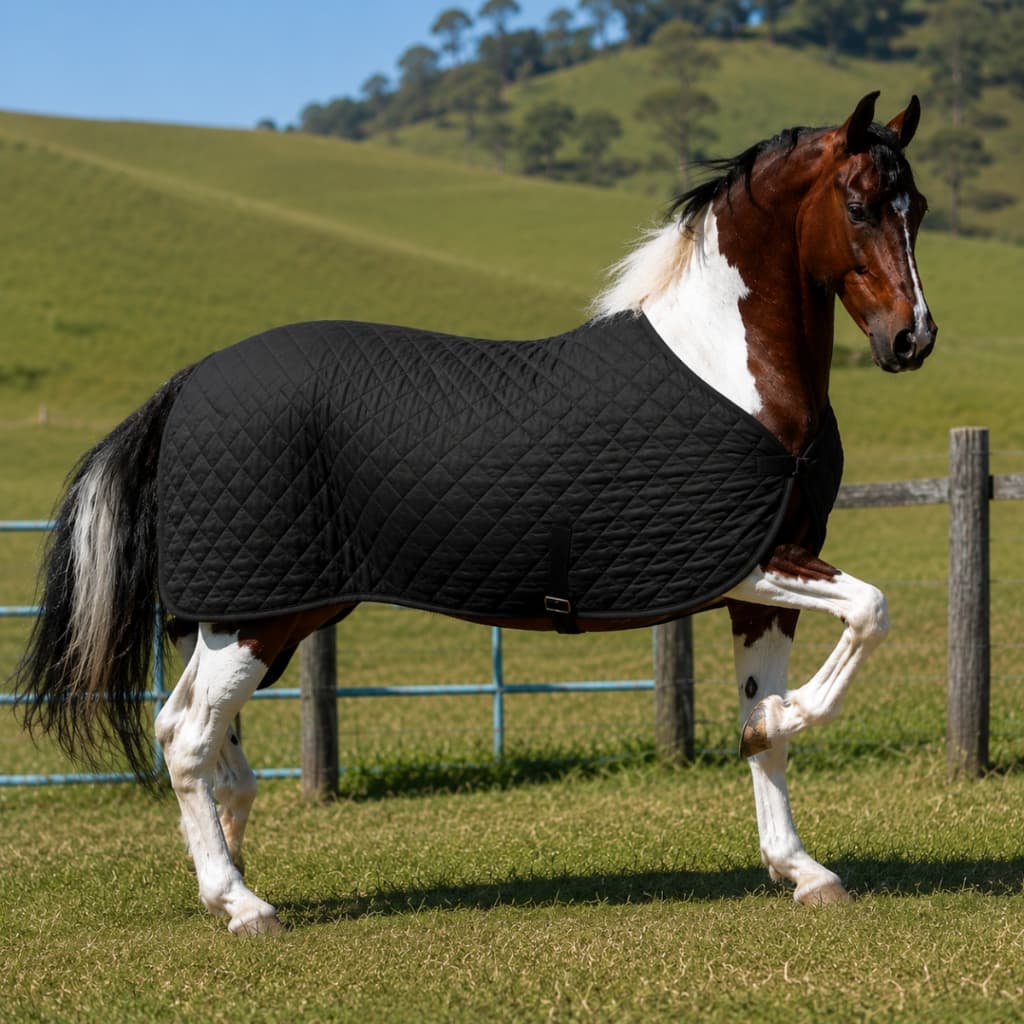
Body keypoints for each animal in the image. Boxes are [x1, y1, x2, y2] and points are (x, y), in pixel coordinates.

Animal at [15, 92, 935, 935]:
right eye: (859, 203)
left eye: (917, 208)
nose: (912, 341)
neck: (727, 369)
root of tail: (189, 382)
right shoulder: (754, 563)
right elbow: (869, 613)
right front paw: (795, 716)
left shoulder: (760, 587)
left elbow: (760, 733)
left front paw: (802, 869)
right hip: (253, 616)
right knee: (184, 737)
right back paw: (241, 904)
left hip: (261, 614)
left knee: (217, 752)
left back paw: (229, 879)